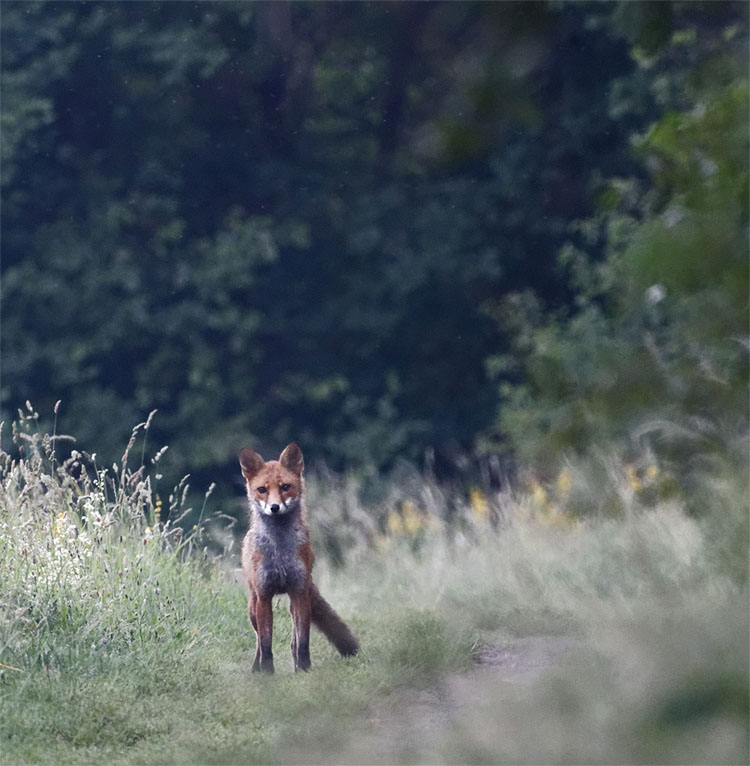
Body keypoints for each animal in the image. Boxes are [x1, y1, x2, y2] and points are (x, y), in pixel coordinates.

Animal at [239, 442, 359, 673]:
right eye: (262, 490)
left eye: (285, 487)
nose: (274, 507)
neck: (280, 552)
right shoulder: (264, 596)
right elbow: (266, 643)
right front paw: (267, 672)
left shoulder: (299, 592)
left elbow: (303, 641)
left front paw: (304, 669)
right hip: (252, 606)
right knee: (258, 640)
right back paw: (256, 668)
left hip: (296, 601)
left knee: (293, 640)